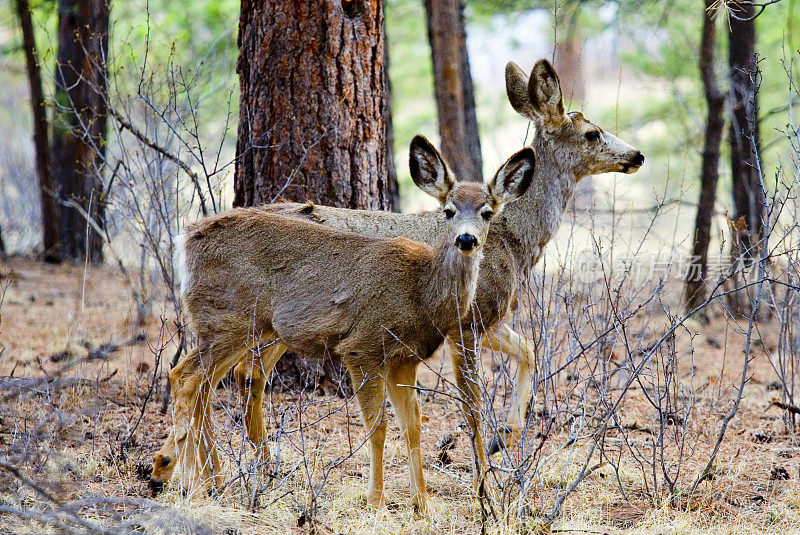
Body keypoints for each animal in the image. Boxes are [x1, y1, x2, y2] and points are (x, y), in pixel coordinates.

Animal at [150, 135, 536, 516]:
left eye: (487, 212)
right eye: (449, 211)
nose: (466, 239)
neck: (421, 290)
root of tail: (182, 243)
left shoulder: (403, 358)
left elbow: (412, 426)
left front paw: (422, 506)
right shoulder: (362, 346)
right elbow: (378, 426)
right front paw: (377, 503)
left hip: (242, 329)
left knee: (200, 383)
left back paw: (204, 480)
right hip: (225, 321)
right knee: (185, 378)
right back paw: (193, 487)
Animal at [228, 59, 648, 494]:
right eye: (592, 132)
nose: (637, 155)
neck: (514, 241)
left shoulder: (487, 318)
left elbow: (529, 350)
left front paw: (506, 436)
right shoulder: (466, 322)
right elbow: (473, 404)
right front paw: (484, 481)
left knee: (245, 375)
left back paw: (259, 465)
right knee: (247, 373)